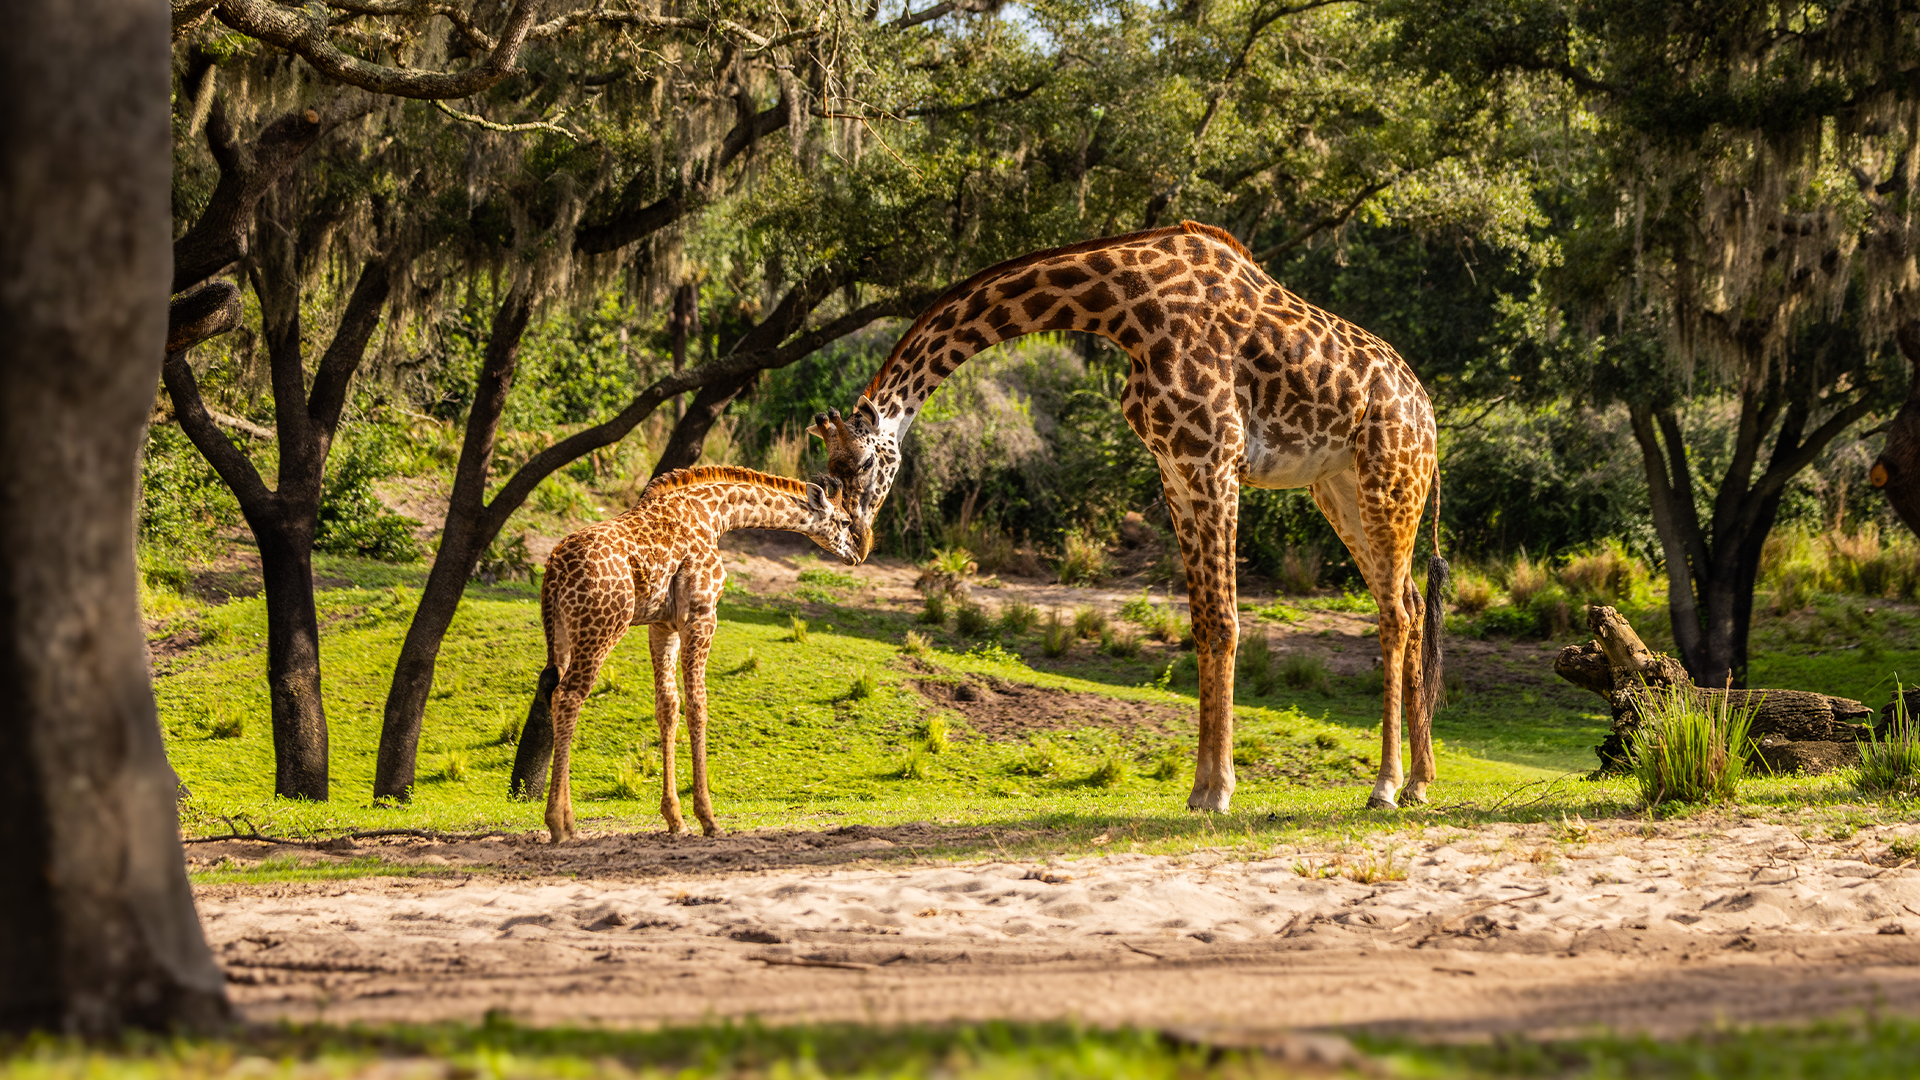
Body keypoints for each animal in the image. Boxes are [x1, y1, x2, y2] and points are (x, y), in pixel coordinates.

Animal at [512, 466, 860, 843]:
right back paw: (561, 824)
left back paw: (564, 821)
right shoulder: (702, 613)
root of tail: (553, 569)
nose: (856, 554)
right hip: (603, 626)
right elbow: (697, 705)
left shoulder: (662, 625)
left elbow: (668, 706)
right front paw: (708, 819)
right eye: (844, 521)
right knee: (569, 696)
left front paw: (675, 819)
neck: (716, 515)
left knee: (552, 691)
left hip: (560, 631)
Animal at [811, 221, 1447, 811]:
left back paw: (1385, 787)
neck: (1125, 310)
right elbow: (1202, 625)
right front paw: (1199, 789)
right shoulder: (1175, 471)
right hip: (1338, 488)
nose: (856, 542)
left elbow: (1225, 622)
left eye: (862, 461)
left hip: (1388, 477)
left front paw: (1220, 791)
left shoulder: (1215, 461)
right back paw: (1420, 781)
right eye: (829, 469)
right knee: (1413, 603)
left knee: (1394, 613)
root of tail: (1428, 413)